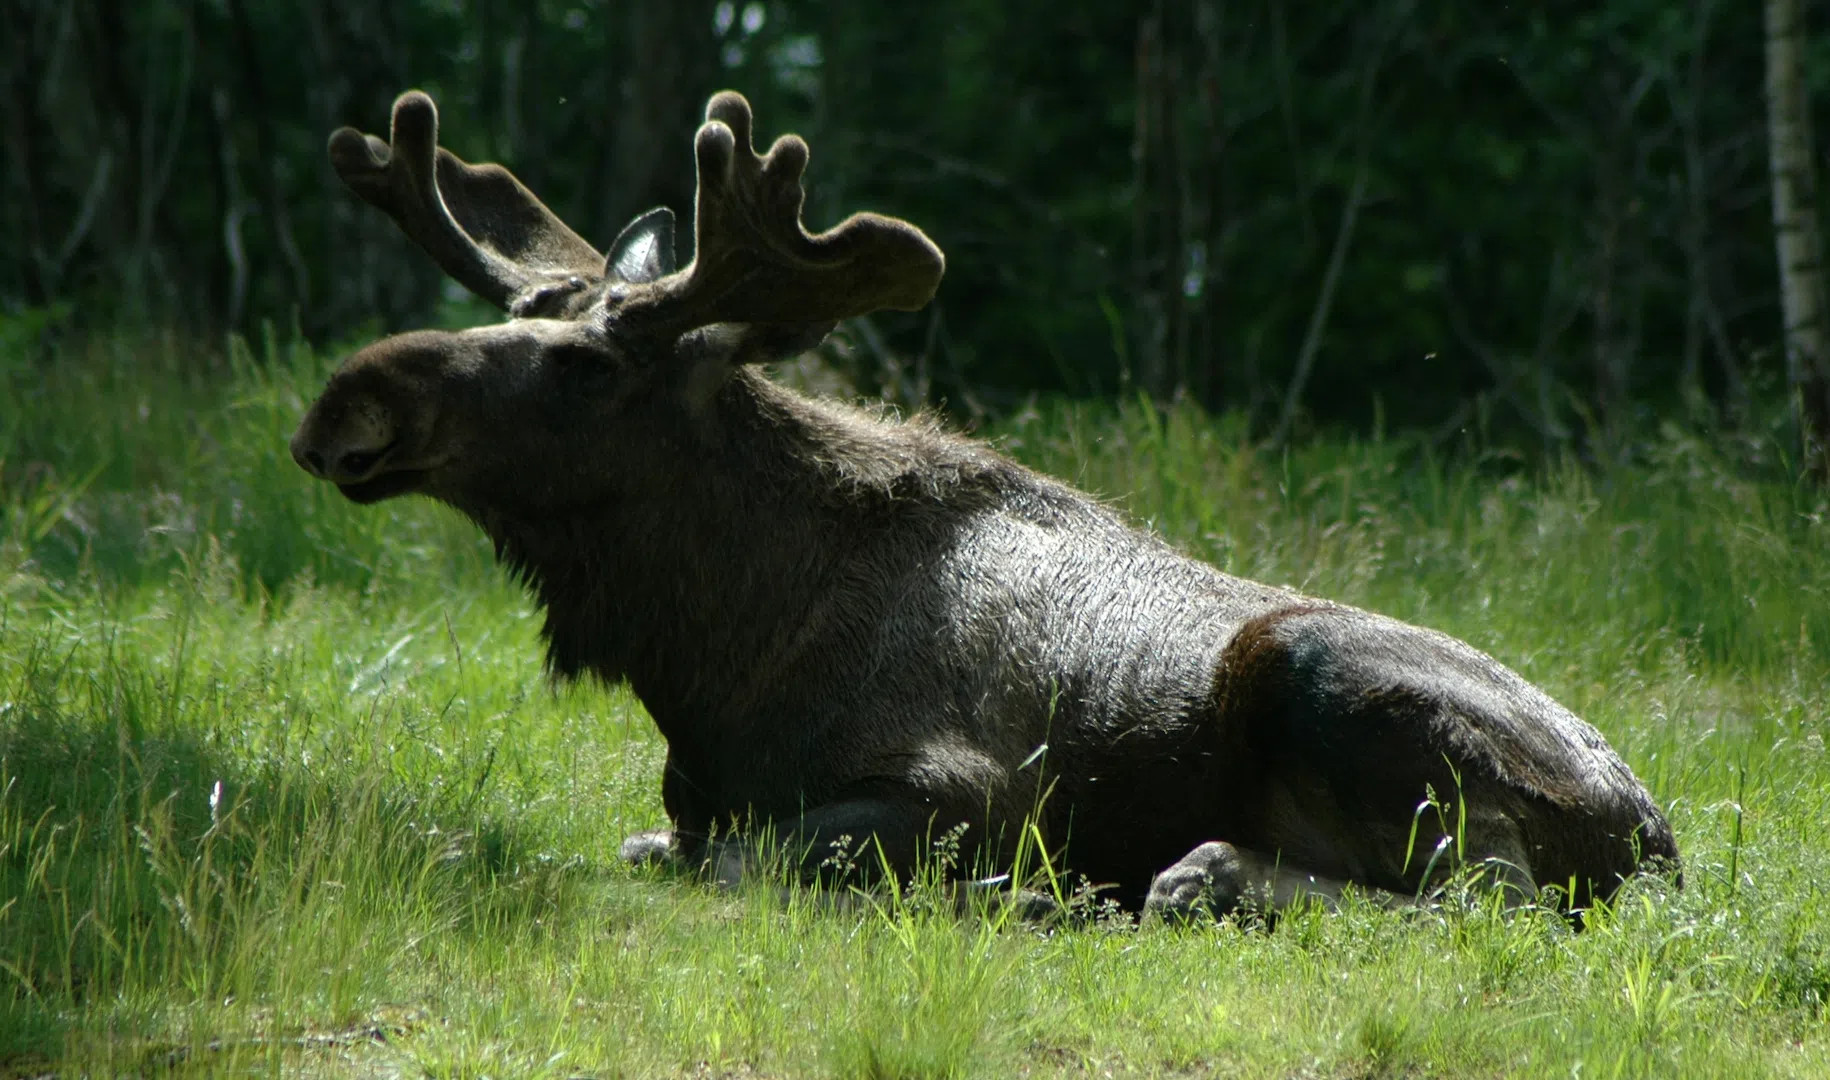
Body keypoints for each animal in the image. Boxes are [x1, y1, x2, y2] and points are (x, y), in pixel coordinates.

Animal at [292, 91, 1676, 922]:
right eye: (517, 320)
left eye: (588, 367)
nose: (346, 404)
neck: (708, 654)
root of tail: (1661, 839)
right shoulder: (688, 802)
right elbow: (663, 845)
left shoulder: (973, 794)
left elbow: (742, 860)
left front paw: (1022, 896)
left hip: (1325, 674)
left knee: (1487, 897)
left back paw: (1192, 875)